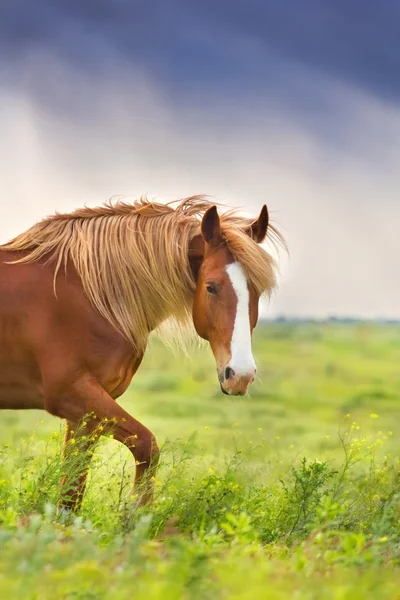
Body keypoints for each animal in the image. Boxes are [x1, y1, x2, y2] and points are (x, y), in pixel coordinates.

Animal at [0, 197, 282, 510]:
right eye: (211, 287)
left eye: (258, 291)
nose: (241, 375)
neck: (91, 295)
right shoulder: (70, 393)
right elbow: (148, 446)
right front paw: (135, 515)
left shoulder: (83, 416)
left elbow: (71, 497)